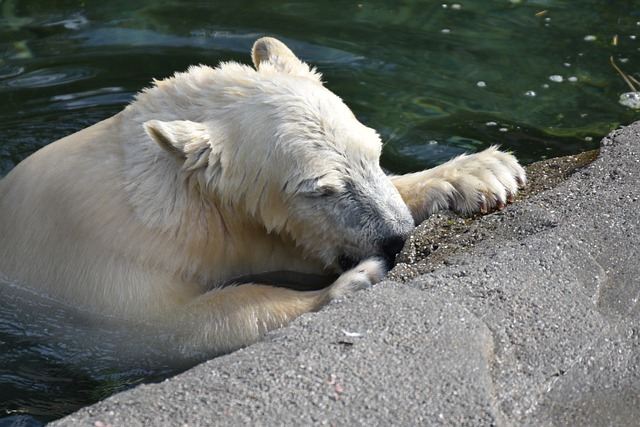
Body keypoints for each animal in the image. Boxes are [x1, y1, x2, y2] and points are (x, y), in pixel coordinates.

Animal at [0, 36, 524, 360]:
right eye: (323, 189)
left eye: (374, 154)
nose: (397, 237)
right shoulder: (111, 257)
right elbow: (169, 326)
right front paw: (351, 283)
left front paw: (482, 173)